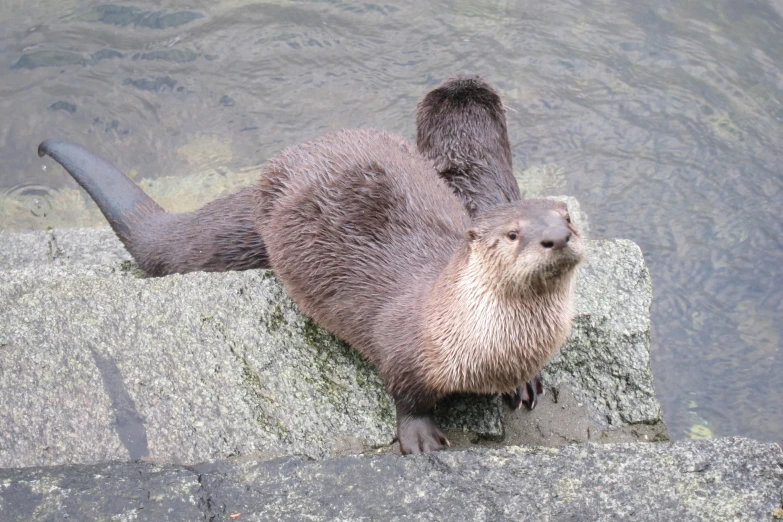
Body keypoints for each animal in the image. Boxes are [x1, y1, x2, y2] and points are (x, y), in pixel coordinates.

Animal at [256, 127, 580, 450]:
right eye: (513, 234)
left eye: (568, 219)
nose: (557, 236)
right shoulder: (403, 353)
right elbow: (408, 400)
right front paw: (422, 439)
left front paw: (525, 383)